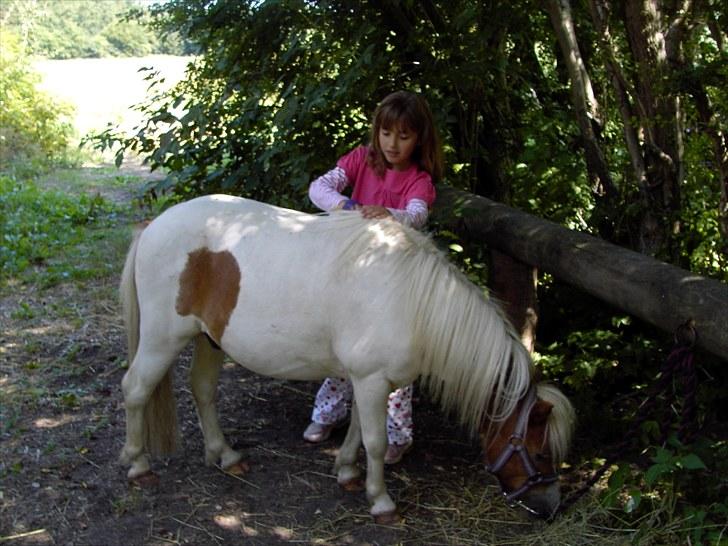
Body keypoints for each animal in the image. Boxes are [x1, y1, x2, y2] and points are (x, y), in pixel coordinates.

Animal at [118, 196, 576, 520]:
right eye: (540, 453)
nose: (551, 507)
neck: (413, 302)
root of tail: (155, 225)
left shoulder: (368, 379)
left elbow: (357, 429)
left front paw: (348, 473)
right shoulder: (371, 379)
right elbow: (375, 441)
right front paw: (381, 501)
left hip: (209, 339)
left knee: (202, 389)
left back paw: (226, 455)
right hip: (162, 339)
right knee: (135, 389)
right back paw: (138, 465)